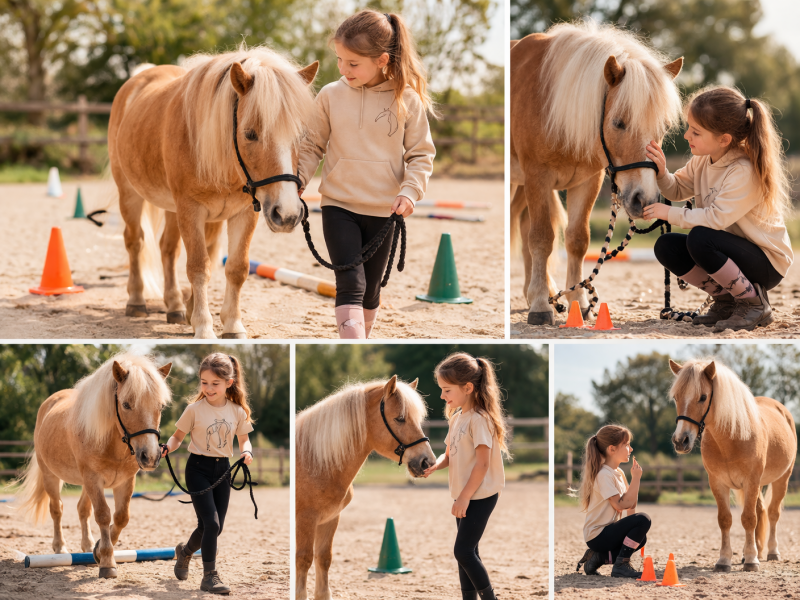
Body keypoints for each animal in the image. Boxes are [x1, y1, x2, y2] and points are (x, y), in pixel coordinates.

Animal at [14, 354, 172, 578]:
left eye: (160, 406)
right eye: (126, 405)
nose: (150, 456)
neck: (112, 444)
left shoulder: (124, 482)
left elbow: (121, 517)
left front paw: (98, 550)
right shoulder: (93, 479)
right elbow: (104, 515)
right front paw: (107, 562)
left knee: (83, 509)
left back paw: (88, 547)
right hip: (51, 476)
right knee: (57, 509)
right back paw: (60, 548)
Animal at [108, 45, 319, 338]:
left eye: (301, 136)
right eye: (250, 134)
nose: (287, 214)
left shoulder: (245, 213)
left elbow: (236, 268)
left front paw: (231, 325)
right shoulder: (191, 210)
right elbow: (199, 267)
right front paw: (203, 326)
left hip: (173, 210)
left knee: (168, 249)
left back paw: (175, 305)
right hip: (130, 195)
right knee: (135, 242)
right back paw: (137, 301)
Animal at [295, 376, 436, 600]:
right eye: (400, 418)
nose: (427, 462)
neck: (315, 461)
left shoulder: (329, 519)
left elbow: (324, 558)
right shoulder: (305, 520)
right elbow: (304, 559)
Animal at [510, 21, 684, 325]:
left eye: (663, 127)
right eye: (618, 123)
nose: (644, 200)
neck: (554, 108)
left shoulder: (588, 181)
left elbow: (577, 240)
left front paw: (578, 302)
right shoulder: (537, 178)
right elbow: (542, 238)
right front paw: (542, 306)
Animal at [668, 358, 797, 572]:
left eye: (703, 397)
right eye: (676, 397)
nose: (680, 441)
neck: (731, 438)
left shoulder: (751, 482)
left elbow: (749, 518)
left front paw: (752, 561)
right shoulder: (718, 483)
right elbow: (725, 519)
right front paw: (724, 560)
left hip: (781, 480)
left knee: (772, 513)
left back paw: (771, 552)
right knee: (761, 511)